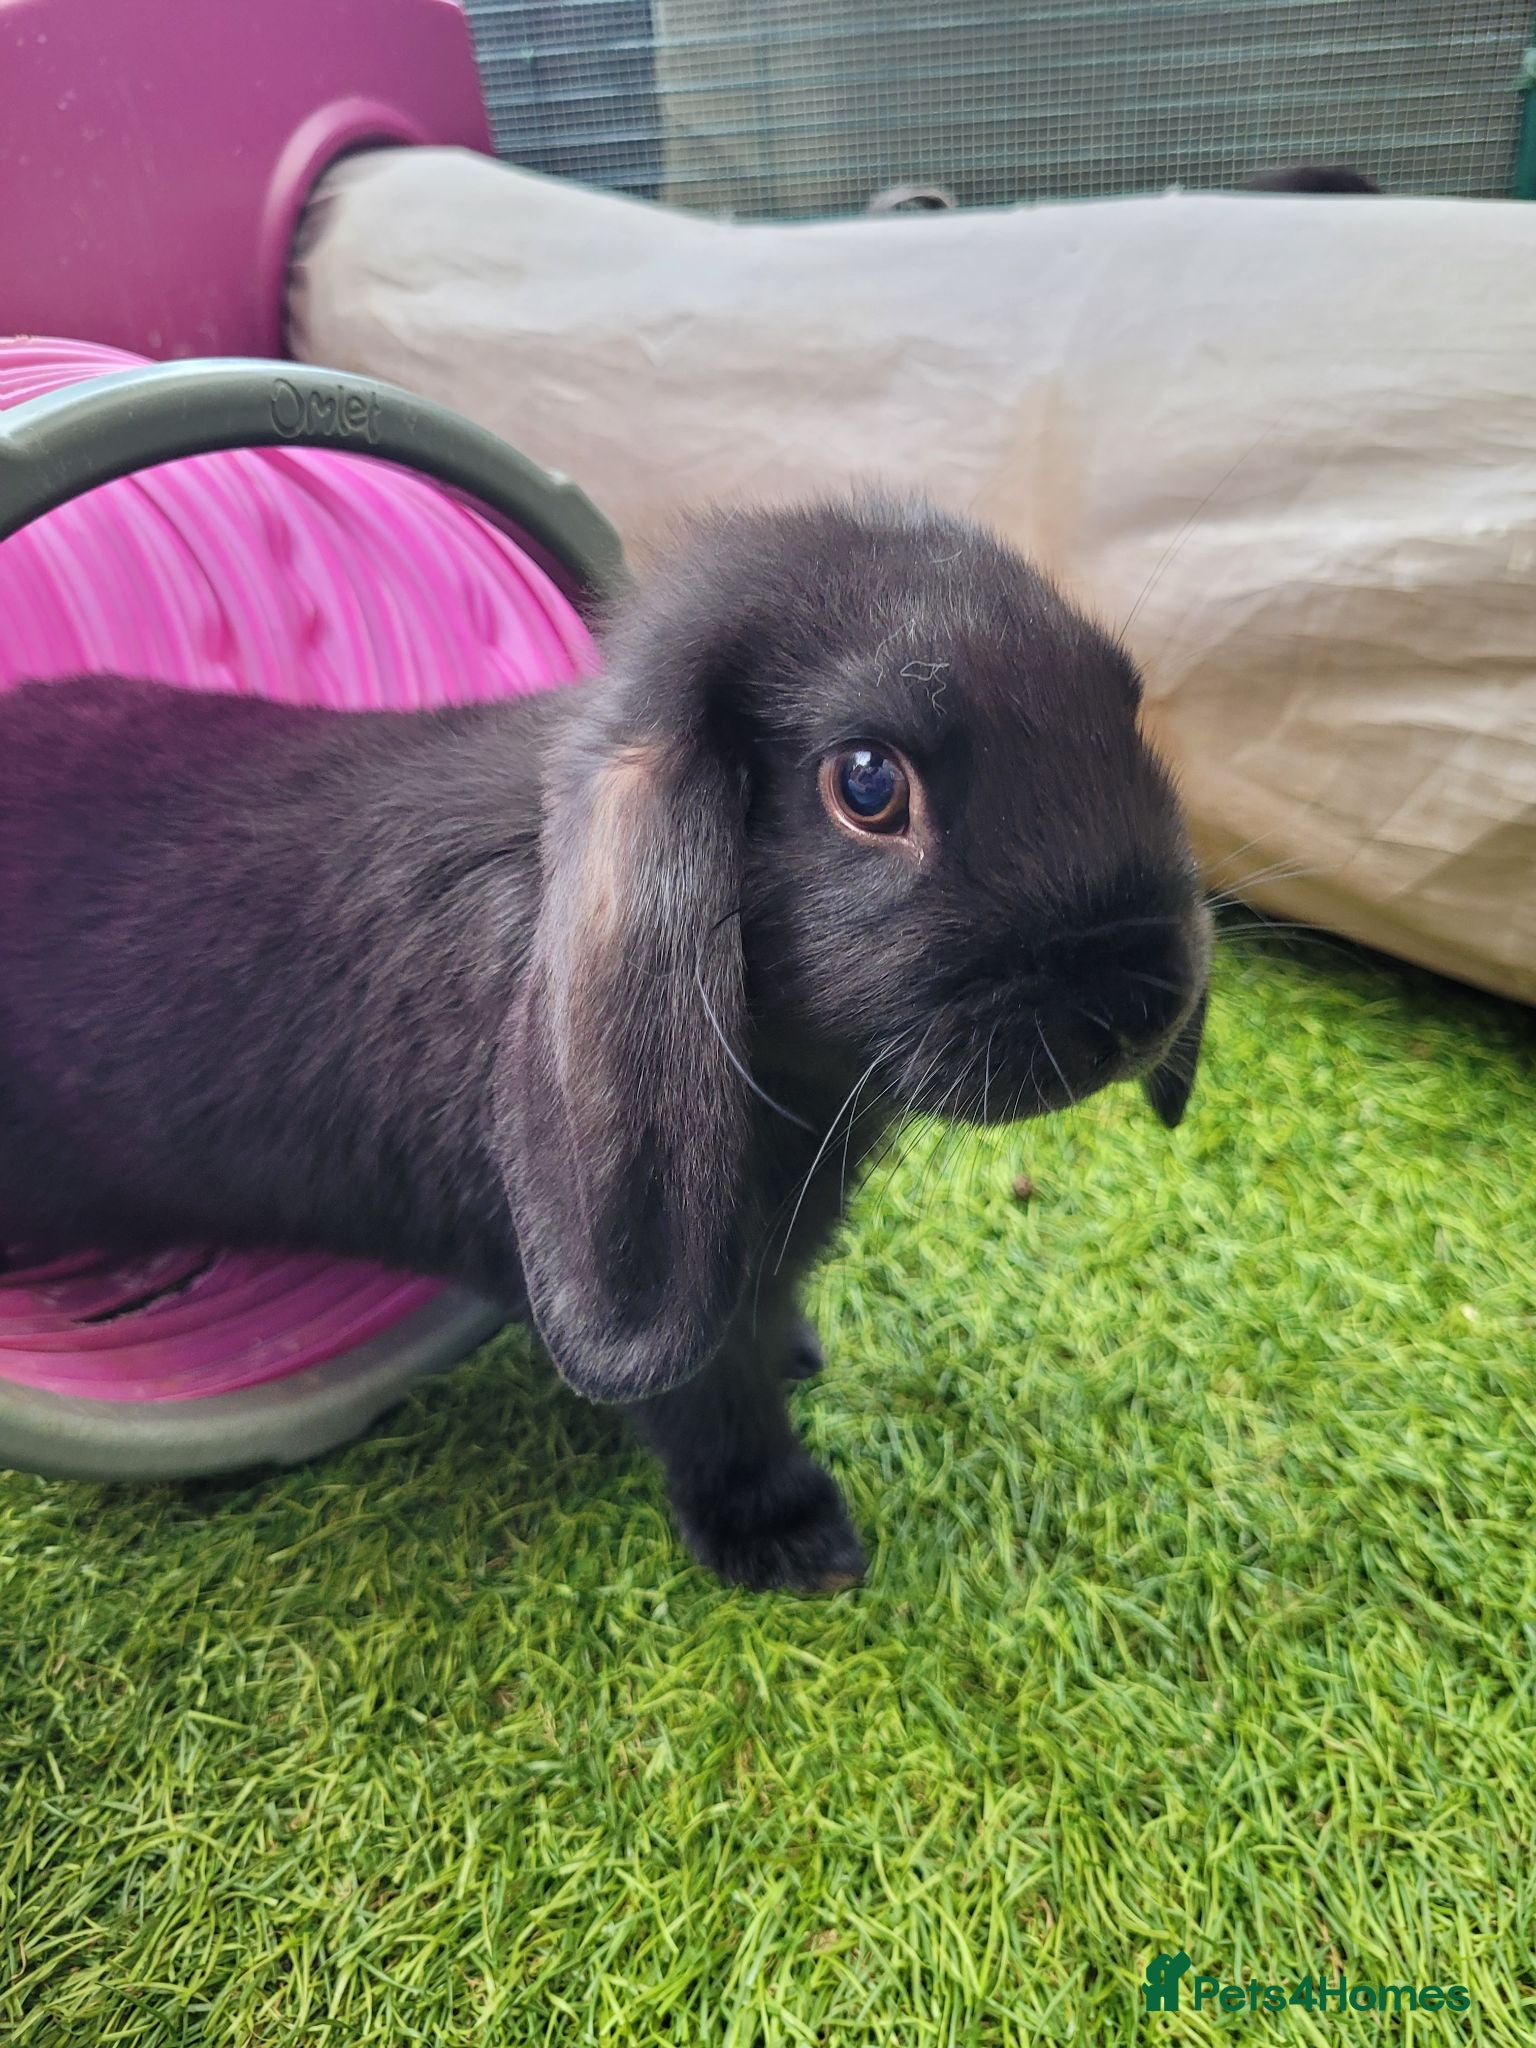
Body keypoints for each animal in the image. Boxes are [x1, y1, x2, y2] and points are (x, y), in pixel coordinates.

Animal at [0, 498, 1210, 1592]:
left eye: (1127, 706)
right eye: (868, 783)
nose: (1138, 1002)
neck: (799, 1077)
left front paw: (804, 1357)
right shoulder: (693, 1306)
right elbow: (715, 1412)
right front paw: (799, 1545)